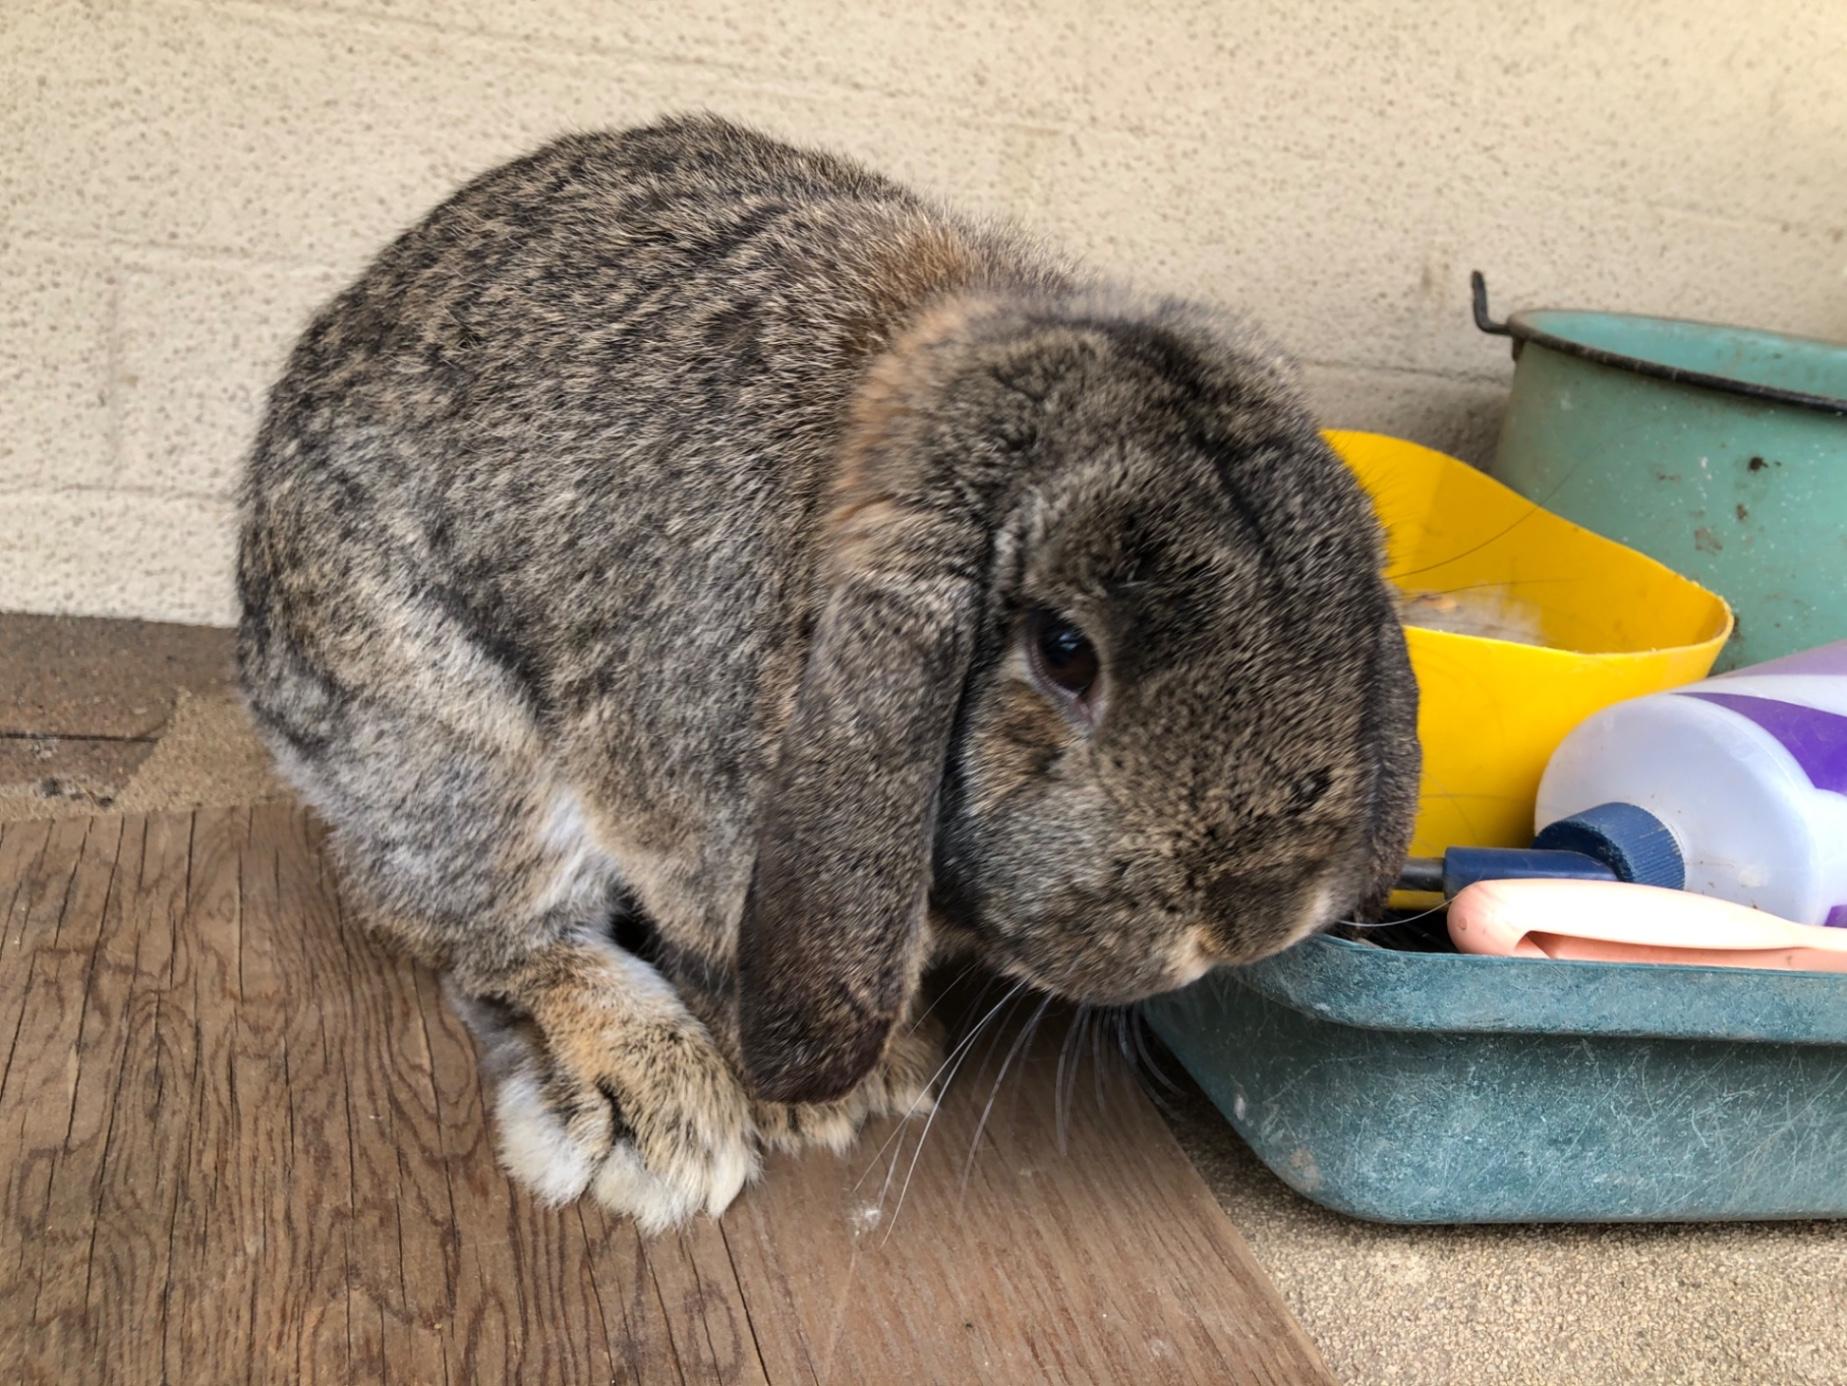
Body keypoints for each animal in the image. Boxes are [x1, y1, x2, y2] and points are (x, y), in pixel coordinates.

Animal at [236, 113, 1420, 1232]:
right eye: (1064, 652)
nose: (1260, 914)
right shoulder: (689, 831)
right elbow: (703, 953)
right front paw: (825, 1107)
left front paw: (881, 1077)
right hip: (458, 752)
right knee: (491, 934)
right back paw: (665, 1114)